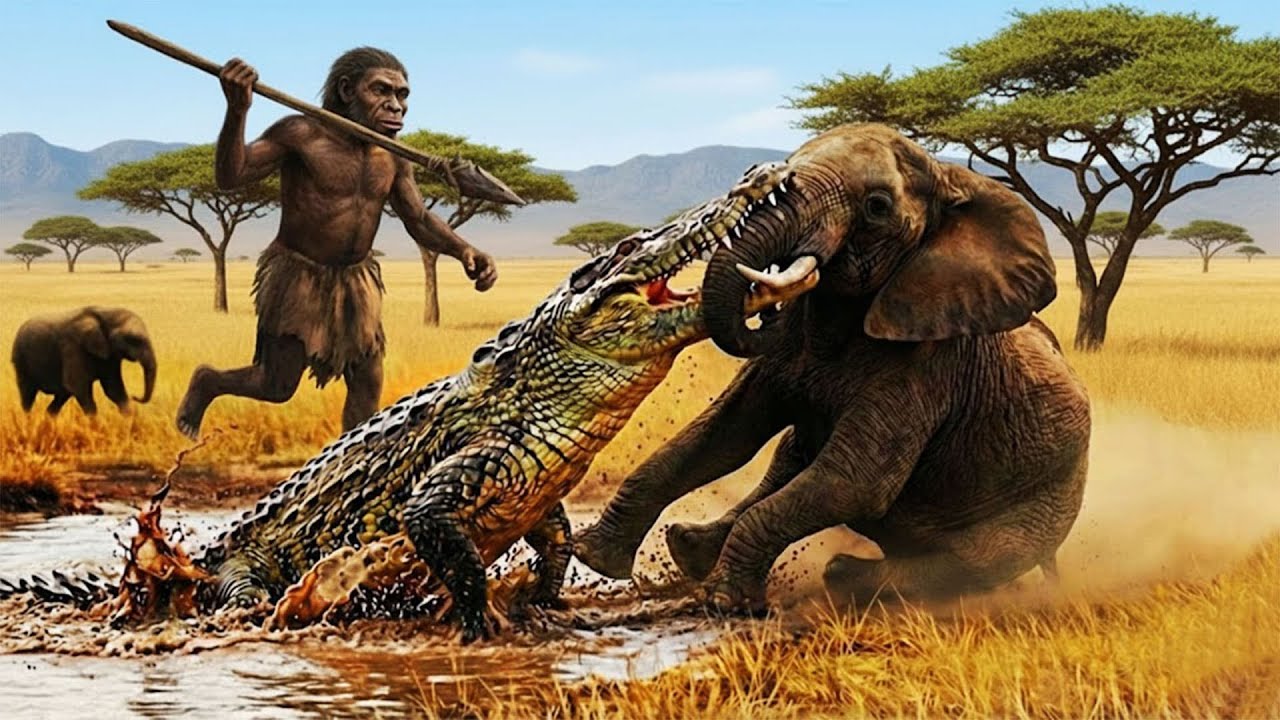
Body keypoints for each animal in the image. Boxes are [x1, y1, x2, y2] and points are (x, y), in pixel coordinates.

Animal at [11, 306, 157, 416]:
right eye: (133, 339)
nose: (135, 396)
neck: (106, 312)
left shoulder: (110, 356)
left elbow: (114, 389)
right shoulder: (72, 346)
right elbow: (77, 386)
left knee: (60, 397)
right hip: (20, 360)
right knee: (27, 396)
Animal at [574, 123, 1091, 614]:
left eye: (877, 207)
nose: (765, 311)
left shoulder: (930, 363)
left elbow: (856, 482)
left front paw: (724, 602)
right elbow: (720, 434)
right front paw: (593, 556)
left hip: (1048, 496)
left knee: (977, 561)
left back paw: (843, 577)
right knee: (786, 460)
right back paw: (688, 547)